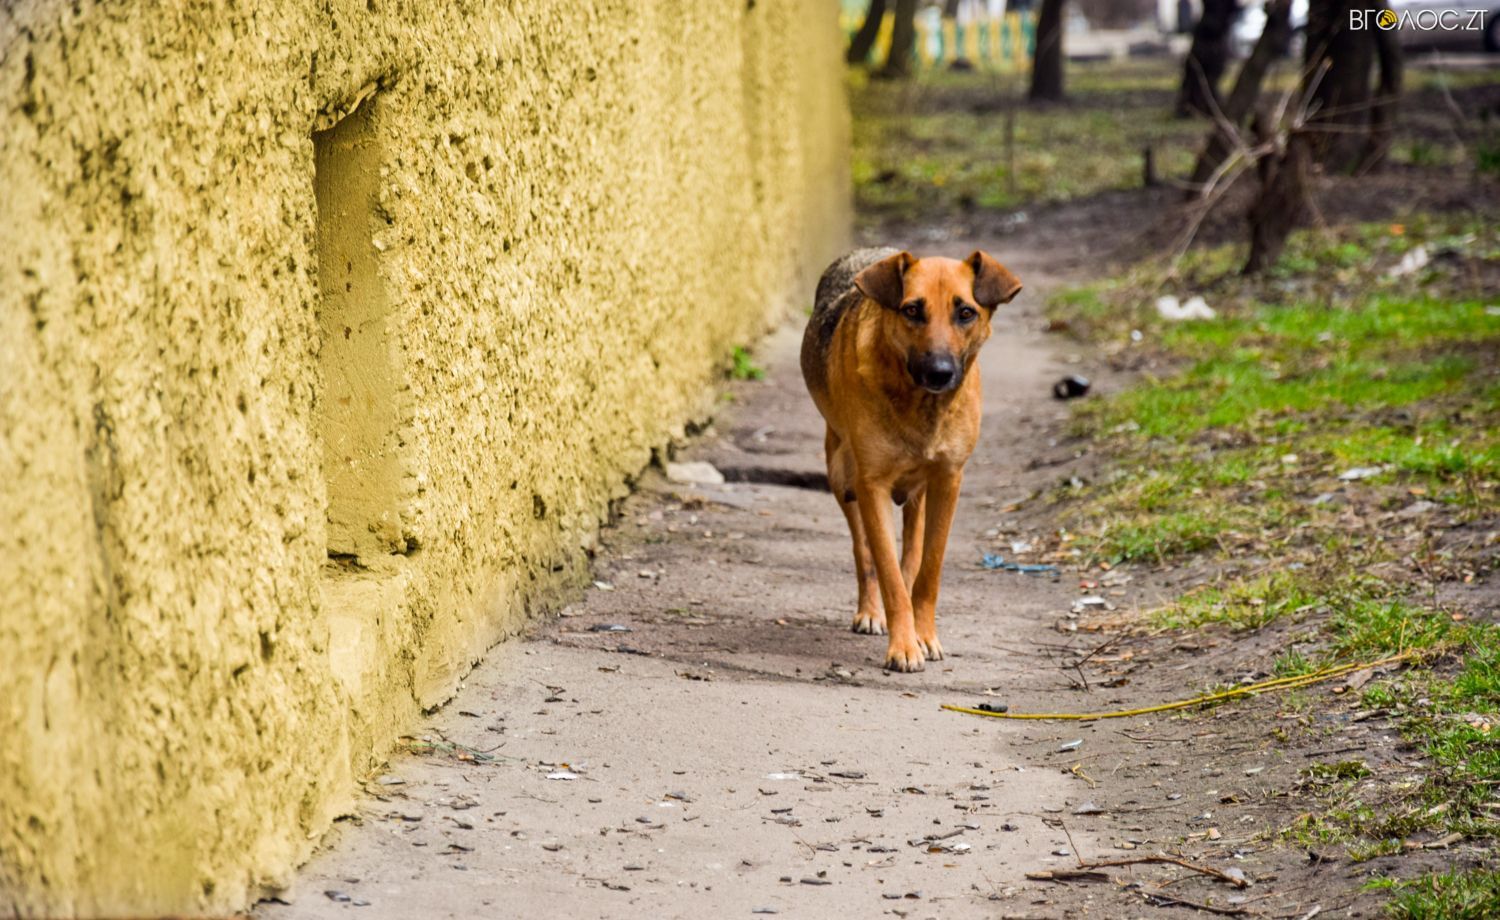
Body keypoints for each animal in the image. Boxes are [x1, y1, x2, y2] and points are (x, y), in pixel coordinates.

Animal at [801, 248, 1022, 672]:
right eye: (912, 310)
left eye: (965, 312)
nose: (939, 372)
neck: (921, 405)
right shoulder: (871, 485)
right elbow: (884, 567)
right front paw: (903, 645)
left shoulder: (948, 482)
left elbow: (927, 569)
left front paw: (923, 636)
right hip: (841, 475)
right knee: (864, 552)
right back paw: (872, 612)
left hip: (918, 493)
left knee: (912, 552)